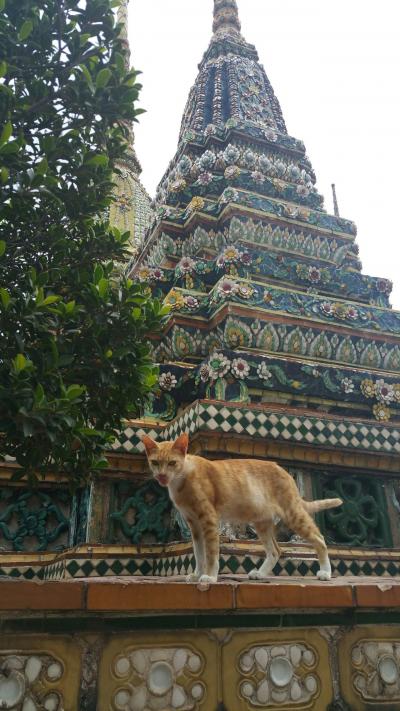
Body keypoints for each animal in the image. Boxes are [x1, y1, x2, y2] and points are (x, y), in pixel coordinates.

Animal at [142, 434, 342, 584]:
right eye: (155, 463)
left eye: (172, 463)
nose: (161, 476)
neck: (182, 479)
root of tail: (284, 471)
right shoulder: (194, 525)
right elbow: (198, 554)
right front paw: (197, 574)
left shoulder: (208, 519)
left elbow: (211, 552)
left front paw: (210, 576)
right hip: (262, 522)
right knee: (275, 551)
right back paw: (260, 574)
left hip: (292, 514)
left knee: (319, 538)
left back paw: (326, 573)